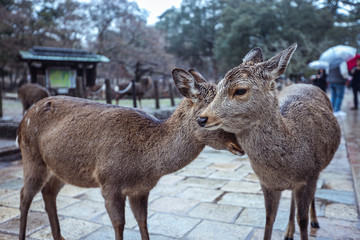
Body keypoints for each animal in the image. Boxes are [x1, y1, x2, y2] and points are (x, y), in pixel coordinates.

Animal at [16, 68, 242, 239]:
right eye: (204, 118)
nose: (239, 144)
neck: (144, 166)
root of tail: (22, 123)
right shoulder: (109, 183)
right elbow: (119, 224)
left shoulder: (140, 190)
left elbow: (143, 222)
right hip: (31, 156)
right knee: (24, 195)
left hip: (60, 169)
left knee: (48, 192)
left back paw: (59, 236)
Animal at [197, 43, 340, 240]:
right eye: (217, 88)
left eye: (240, 90)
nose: (202, 118)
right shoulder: (267, 183)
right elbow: (269, 219)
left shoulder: (310, 175)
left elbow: (302, 220)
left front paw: (307, 224)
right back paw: (288, 232)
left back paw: (314, 221)